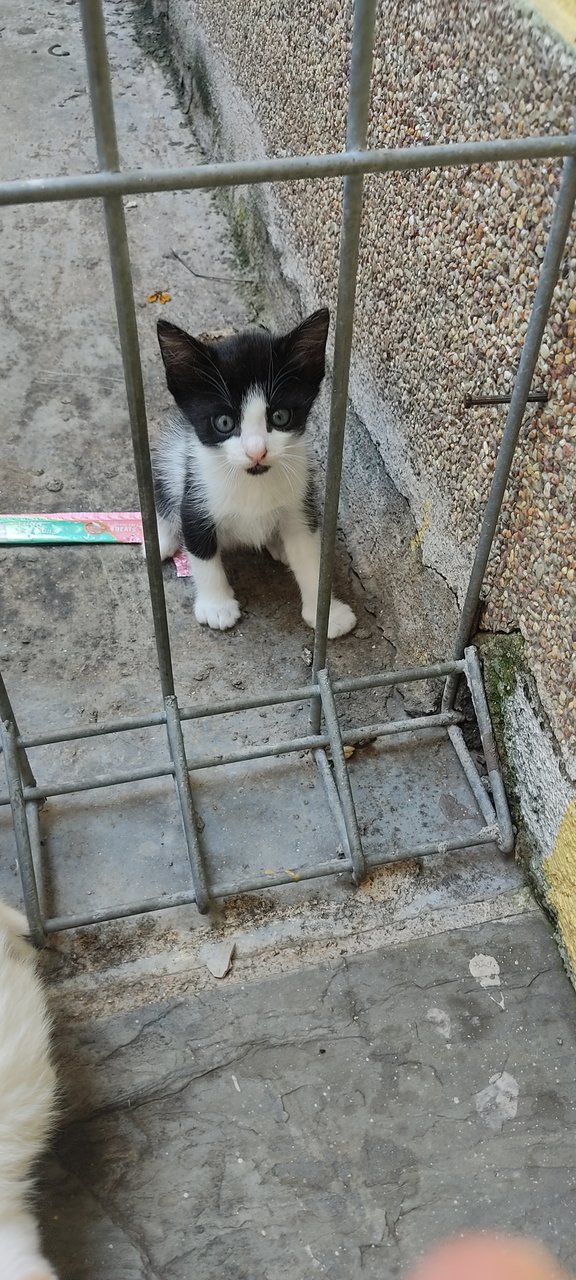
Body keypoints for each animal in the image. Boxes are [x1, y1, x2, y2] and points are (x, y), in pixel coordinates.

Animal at [151, 304, 355, 634]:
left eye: (281, 417)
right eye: (224, 422)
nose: (256, 451)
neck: (252, 483)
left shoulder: (300, 503)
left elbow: (309, 554)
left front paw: (329, 614)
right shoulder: (196, 496)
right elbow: (200, 548)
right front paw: (216, 606)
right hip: (174, 458)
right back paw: (162, 539)